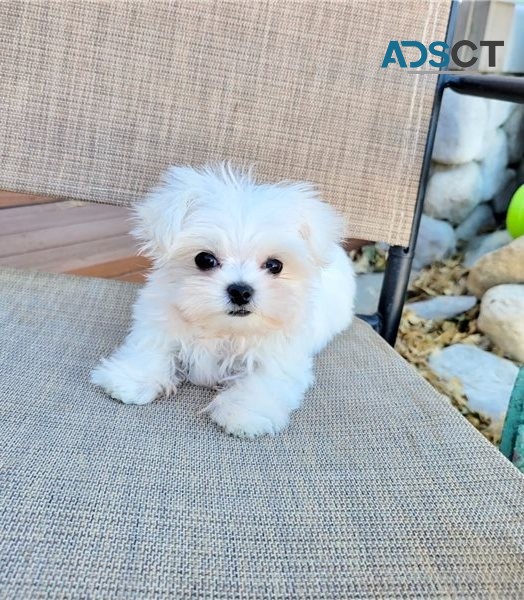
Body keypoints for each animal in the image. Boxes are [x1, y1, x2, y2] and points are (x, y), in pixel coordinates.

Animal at [93, 164, 356, 436]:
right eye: (205, 259)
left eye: (275, 265)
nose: (240, 291)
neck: (223, 329)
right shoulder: (160, 319)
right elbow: (153, 347)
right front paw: (132, 379)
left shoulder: (281, 353)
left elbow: (264, 379)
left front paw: (245, 413)